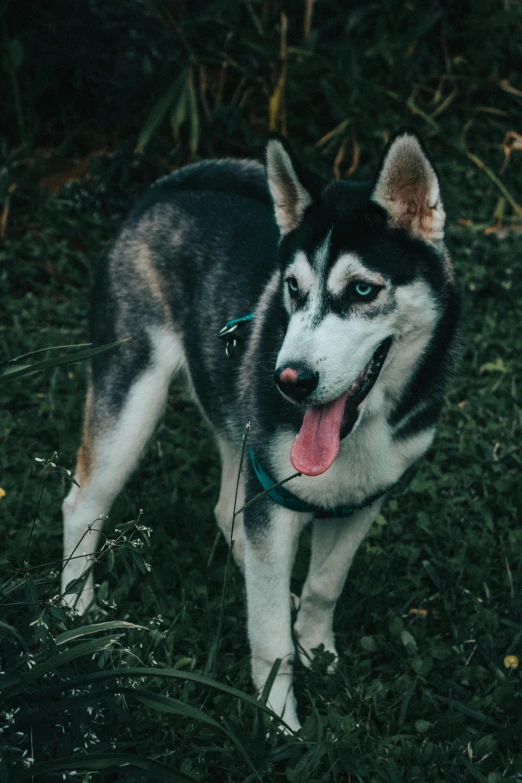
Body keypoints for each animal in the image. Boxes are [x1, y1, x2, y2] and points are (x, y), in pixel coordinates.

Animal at [61, 130, 458, 736]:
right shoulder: (275, 493)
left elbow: (323, 586)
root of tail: (161, 191)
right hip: (132, 398)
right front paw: (279, 722)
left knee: (230, 510)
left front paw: (320, 652)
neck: (364, 426)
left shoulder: (363, 499)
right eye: (292, 287)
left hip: (236, 420)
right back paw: (73, 614)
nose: (289, 380)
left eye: (363, 290)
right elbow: (269, 639)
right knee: (84, 503)